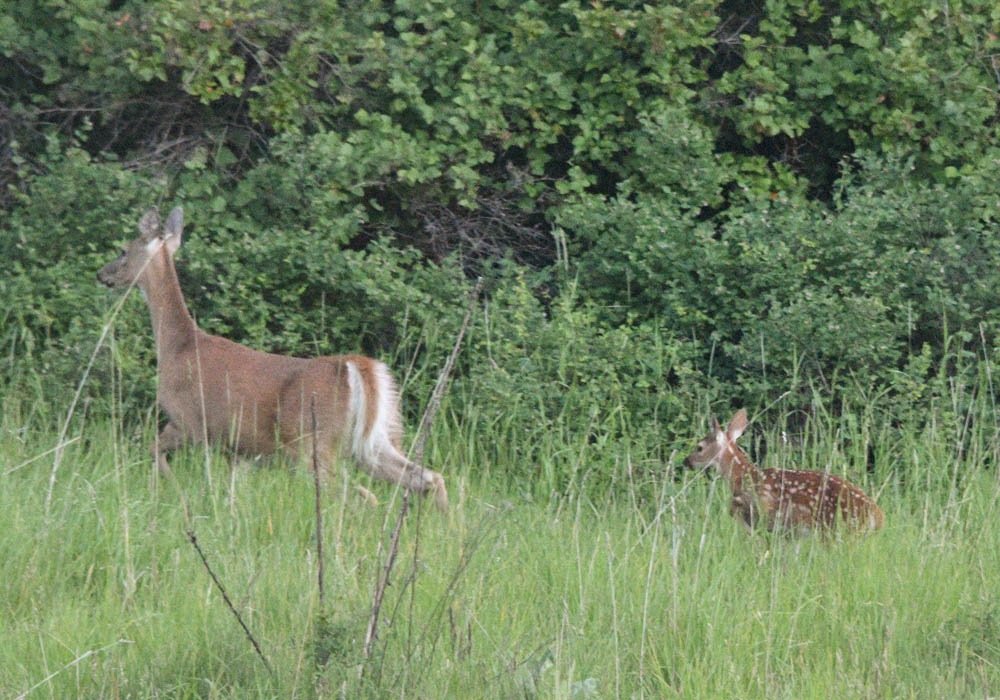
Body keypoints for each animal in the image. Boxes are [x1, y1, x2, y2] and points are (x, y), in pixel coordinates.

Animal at [98, 205, 447, 510]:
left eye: (123, 250)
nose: (102, 274)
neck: (178, 346)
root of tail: (355, 366)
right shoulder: (237, 449)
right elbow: (231, 492)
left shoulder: (190, 423)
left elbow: (157, 452)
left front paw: (175, 493)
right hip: (379, 439)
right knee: (428, 478)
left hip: (312, 442)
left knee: (360, 494)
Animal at [684, 409, 883, 535]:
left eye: (699, 447)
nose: (686, 461)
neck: (743, 476)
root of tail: (877, 515)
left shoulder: (763, 518)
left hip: (835, 530)